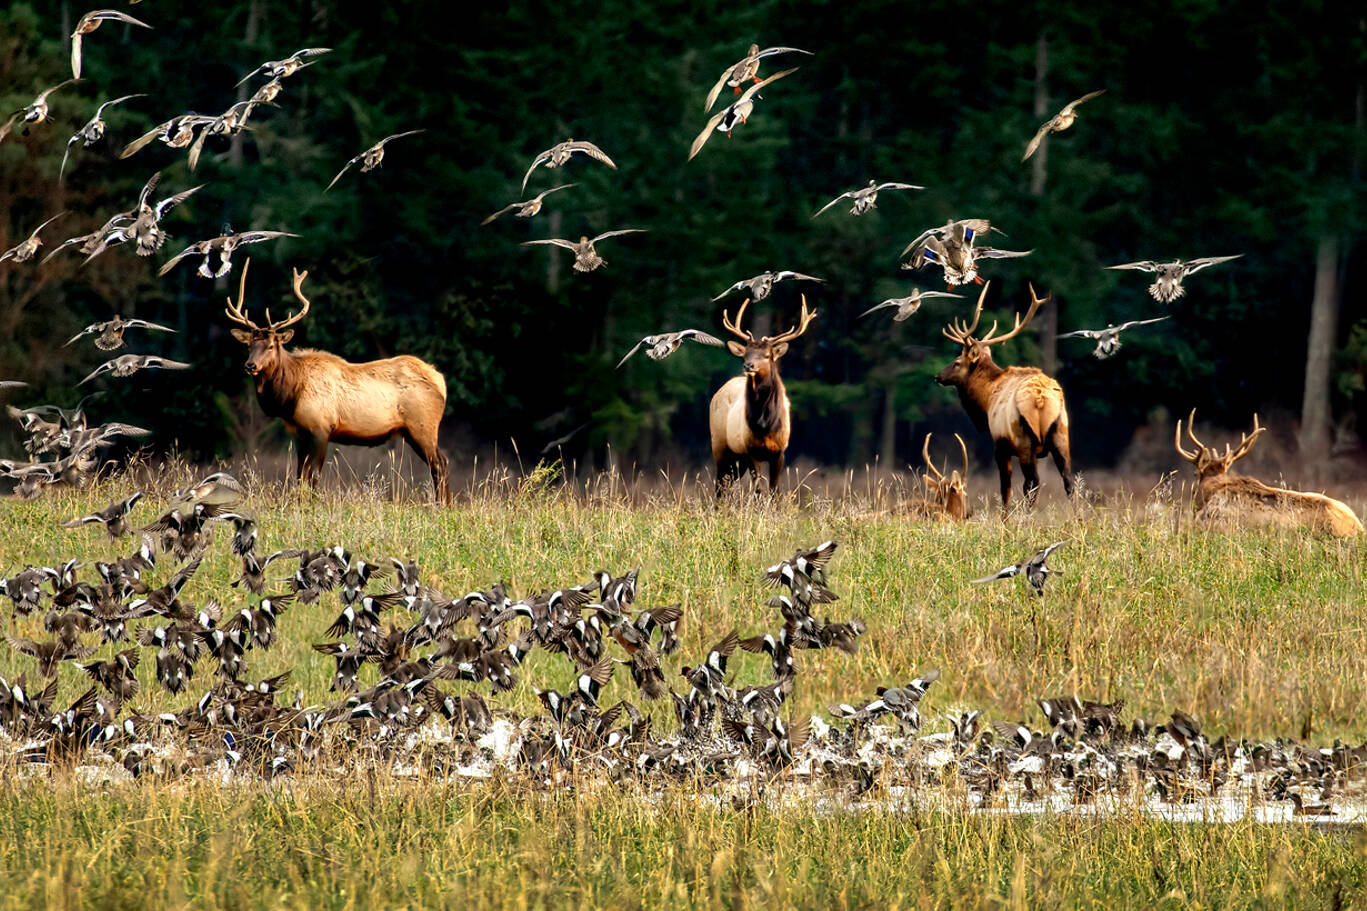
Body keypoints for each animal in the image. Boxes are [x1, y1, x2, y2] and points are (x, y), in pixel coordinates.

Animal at [224, 261, 452, 504]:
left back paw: (441, 505)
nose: (250, 365)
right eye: (249, 345)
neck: (290, 397)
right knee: (442, 462)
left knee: (439, 463)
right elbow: (299, 476)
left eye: (270, 346)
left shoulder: (320, 427)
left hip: (423, 425)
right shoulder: (300, 433)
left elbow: (313, 475)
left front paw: (311, 506)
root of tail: (441, 381)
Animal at [709, 296, 818, 496]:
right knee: (720, 484)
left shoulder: (780, 451)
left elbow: (774, 490)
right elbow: (758, 489)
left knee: (728, 482)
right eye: (745, 354)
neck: (766, 424)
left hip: (737, 457)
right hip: (719, 443)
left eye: (767, 355)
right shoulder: (751, 449)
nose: (748, 365)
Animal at [935, 281, 1073, 512]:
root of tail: (1042, 398)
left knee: (1032, 483)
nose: (938, 376)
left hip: (1024, 439)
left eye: (956, 362)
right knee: (1069, 481)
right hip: (1061, 432)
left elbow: (1005, 488)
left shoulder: (1000, 444)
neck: (986, 398)